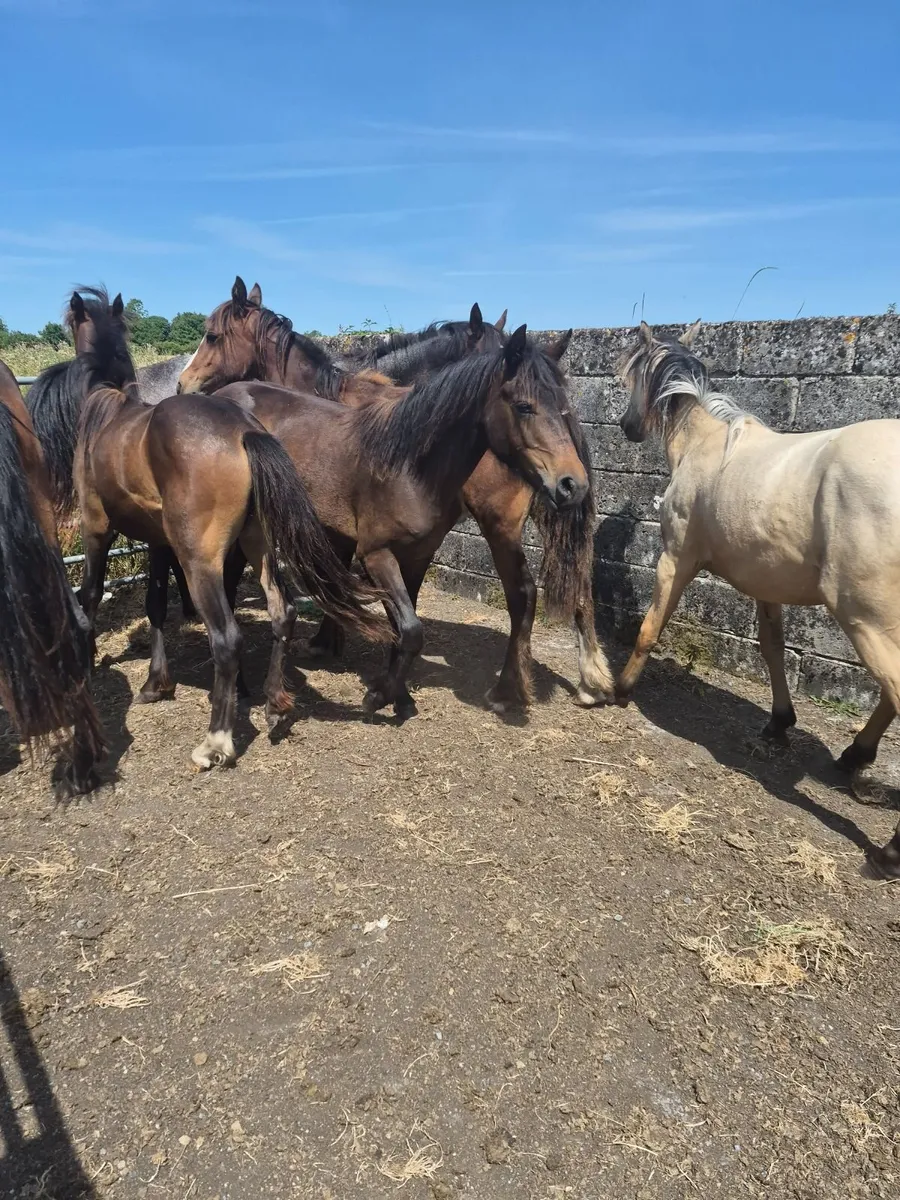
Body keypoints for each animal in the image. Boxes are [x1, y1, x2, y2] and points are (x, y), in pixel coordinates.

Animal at [39, 289, 388, 770]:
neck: (107, 410)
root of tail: (243, 431)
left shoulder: (97, 530)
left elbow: (90, 596)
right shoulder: (159, 543)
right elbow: (155, 604)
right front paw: (156, 683)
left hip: (200, 562)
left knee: (227, 638)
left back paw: (216, 742)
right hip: (258, 547)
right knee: (283, 612)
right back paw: (274, 703)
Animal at [178, 278, 614, 710]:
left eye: (211, 336)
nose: (183, 383)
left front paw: (337, 648)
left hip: (501, 524)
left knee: (523, 594)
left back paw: (513, 689)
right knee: (577, 587)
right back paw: (589, 679)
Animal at [615, 319, 900, 880]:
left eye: (632, 374)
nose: (627, 426)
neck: (708, 444)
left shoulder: (675, 559)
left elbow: (649, 628)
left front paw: (619, 689)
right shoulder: (768, 584)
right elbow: (771, 650)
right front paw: (778, 724)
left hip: (867, 620)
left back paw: (889, 849)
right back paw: (855, 755)